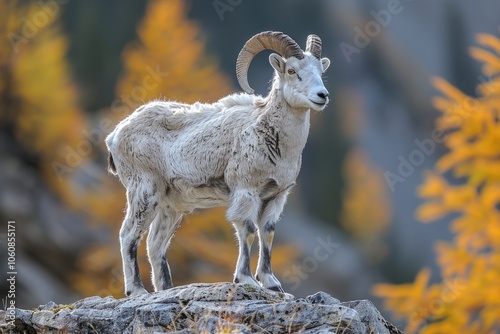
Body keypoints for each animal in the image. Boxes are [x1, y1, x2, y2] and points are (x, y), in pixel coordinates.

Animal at [105, 30, 330, 294]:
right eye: (292, 70)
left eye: (321, 70)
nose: (322, 96)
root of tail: (115, 135)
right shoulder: (245, 191)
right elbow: (248, 231)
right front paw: (245, 279)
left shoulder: (275, 197)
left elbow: (267, 233)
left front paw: (271, 283)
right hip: (144, 191)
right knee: (129, 234)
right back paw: (137, 290)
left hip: (170, 206)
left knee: (155, 243)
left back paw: (167, 288)